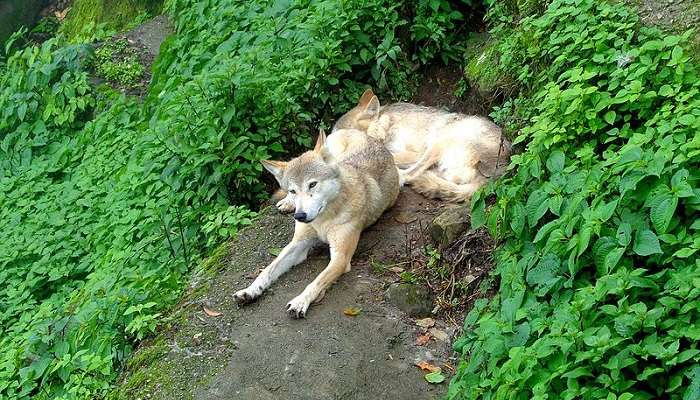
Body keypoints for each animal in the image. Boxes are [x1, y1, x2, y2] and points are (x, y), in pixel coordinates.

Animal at [234, 130, 400, 318]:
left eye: (312, 184)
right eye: (293, 190)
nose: (299, 215)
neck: (323, 220)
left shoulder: (340, 258)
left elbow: (316, 281)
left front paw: (300, 301)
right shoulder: (297, 244)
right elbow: (267, 270)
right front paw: (250, 290)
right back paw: (286, 204)